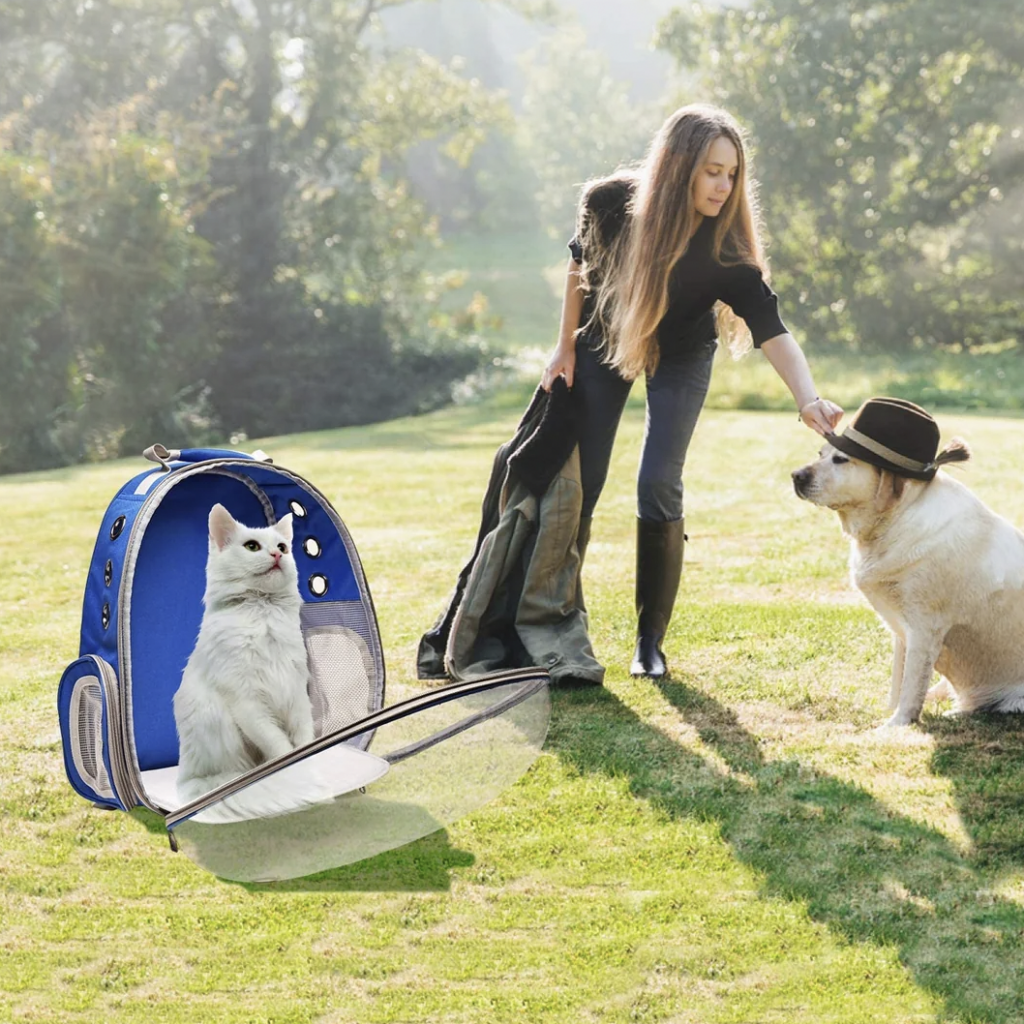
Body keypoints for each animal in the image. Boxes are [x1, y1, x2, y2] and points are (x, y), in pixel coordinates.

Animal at [173, 503, 331, 823]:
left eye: (282, 546)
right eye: (252, 547)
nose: (277, 555)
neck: (263, 610)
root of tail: (184, 777)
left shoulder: (296, 693)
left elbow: (303, 739)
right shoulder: (247, 703)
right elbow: (282, 748)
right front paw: (298, 773)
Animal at [794, 397, 1024, 729]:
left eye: (841, 460)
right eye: (820, 454)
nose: (796, 476)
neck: (895, 519)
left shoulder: (925, 628)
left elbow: (912, 685)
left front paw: (895, 726)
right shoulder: (901, 631)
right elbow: (899, 682)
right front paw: (889, 713)